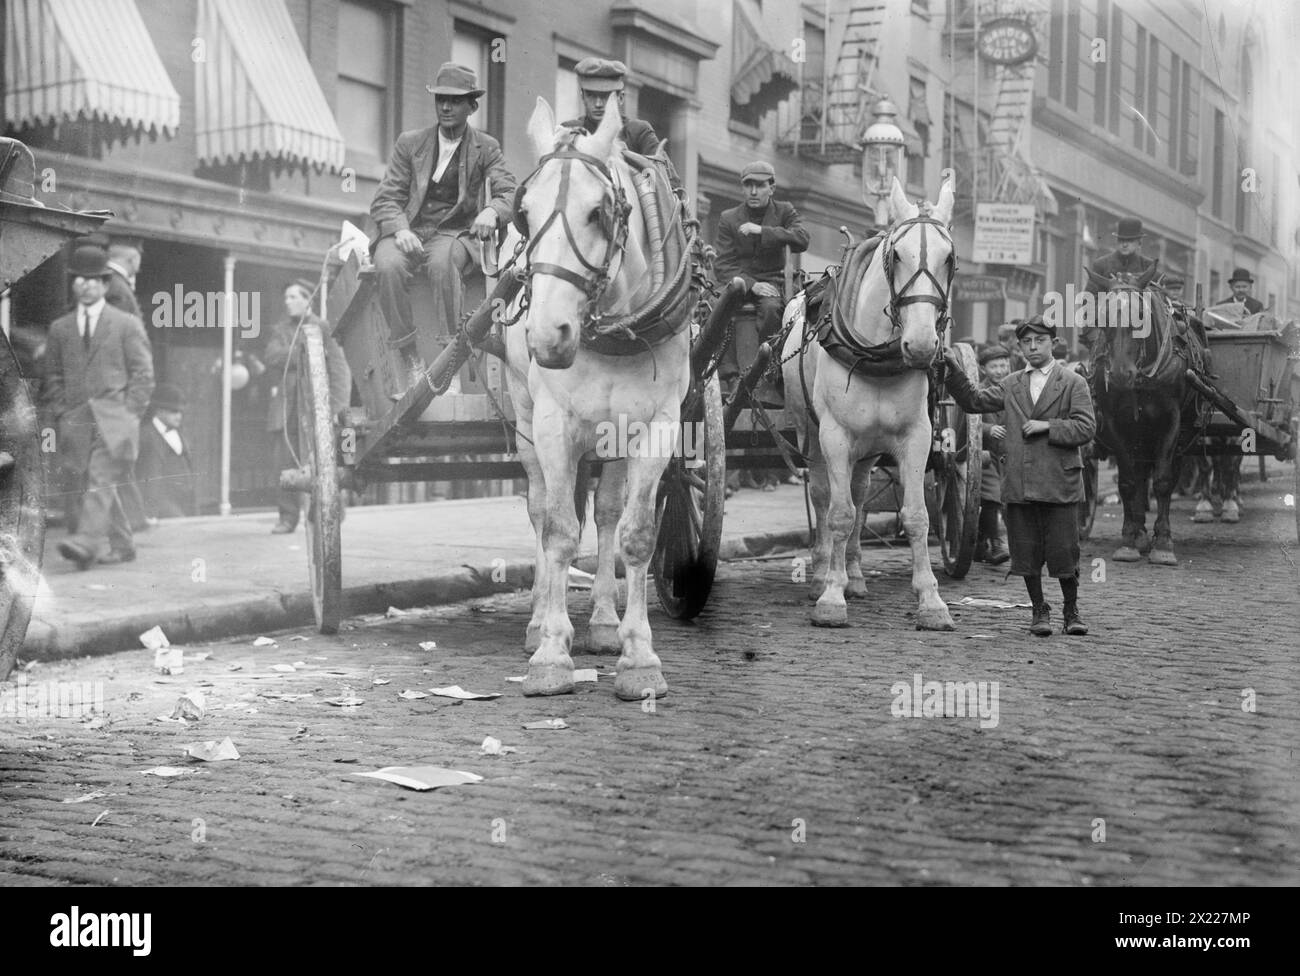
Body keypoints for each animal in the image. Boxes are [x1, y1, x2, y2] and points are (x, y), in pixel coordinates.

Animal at [504, 95, 696, 696]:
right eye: (524, 215)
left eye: (599, 213)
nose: (547, 335)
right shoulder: (552, 423)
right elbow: (559, 531)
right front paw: (551, 653)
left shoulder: (658, 424)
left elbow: (635, 533)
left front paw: (638, 655)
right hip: (523, 417)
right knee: (540, 507)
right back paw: (539, 619)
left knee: (608, 513)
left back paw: (606, 622)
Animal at [774, 176, 961, 634]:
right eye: (896, 255)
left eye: (950, 259)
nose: (922, 345)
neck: (875, 356)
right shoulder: (835, 435)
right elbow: (839, 513)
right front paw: (830, 597)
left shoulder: (917, 435)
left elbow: (916, 515)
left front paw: (931, 600)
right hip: (811, 434)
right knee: (825, 496)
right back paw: (824, 572)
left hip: (869, 448)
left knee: (860, 496)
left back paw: (855, 575)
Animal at [1081, 267, 1201, 564]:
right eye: (1102, 317)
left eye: (1141, 316)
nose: (1120, 375)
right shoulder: (1114, 423)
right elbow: (1128, 482)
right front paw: (1129, 540)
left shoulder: (1171, 422)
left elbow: (1163, 481)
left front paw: (1164, 543)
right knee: (1140, 473)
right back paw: (1141, 533)